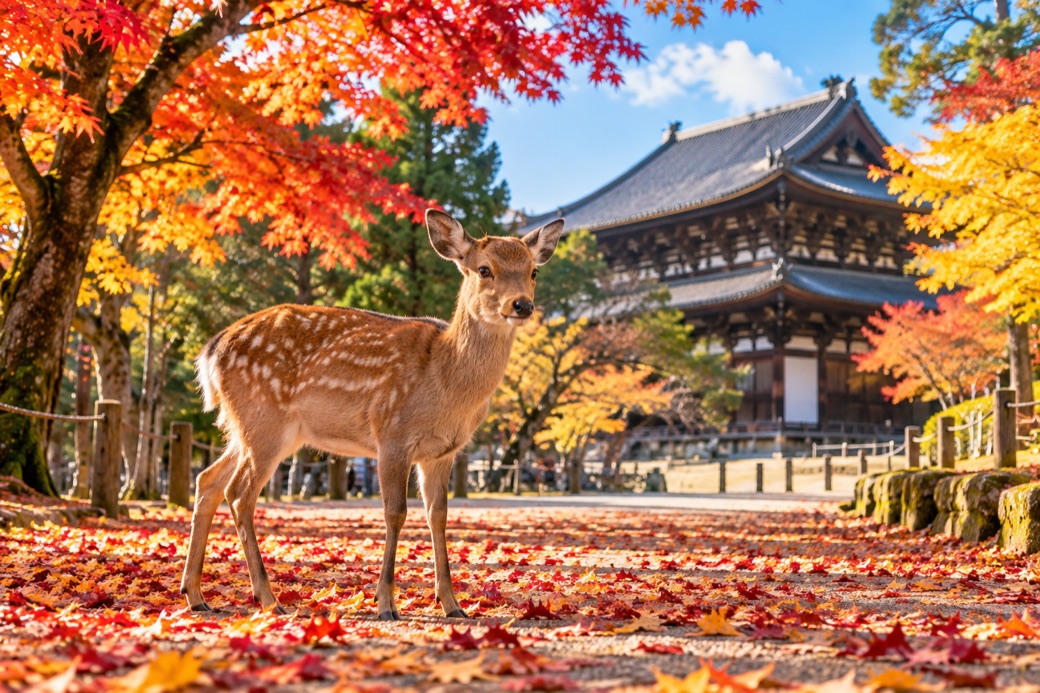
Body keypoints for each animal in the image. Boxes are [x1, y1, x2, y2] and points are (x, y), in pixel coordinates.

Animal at [180, 209, 564, 620]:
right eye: (484, 269)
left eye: (533, 271)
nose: (522, 305)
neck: (445, 379)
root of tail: (211, 352)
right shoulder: (392, 434)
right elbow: (395, 513)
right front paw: (386, 604)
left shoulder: (442, 452)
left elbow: (439, 516)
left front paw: (452, 604)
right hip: (264, 420)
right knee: (239, 493)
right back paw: (268, 598)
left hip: (246, 427)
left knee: (207, 480)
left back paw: (196, 594)